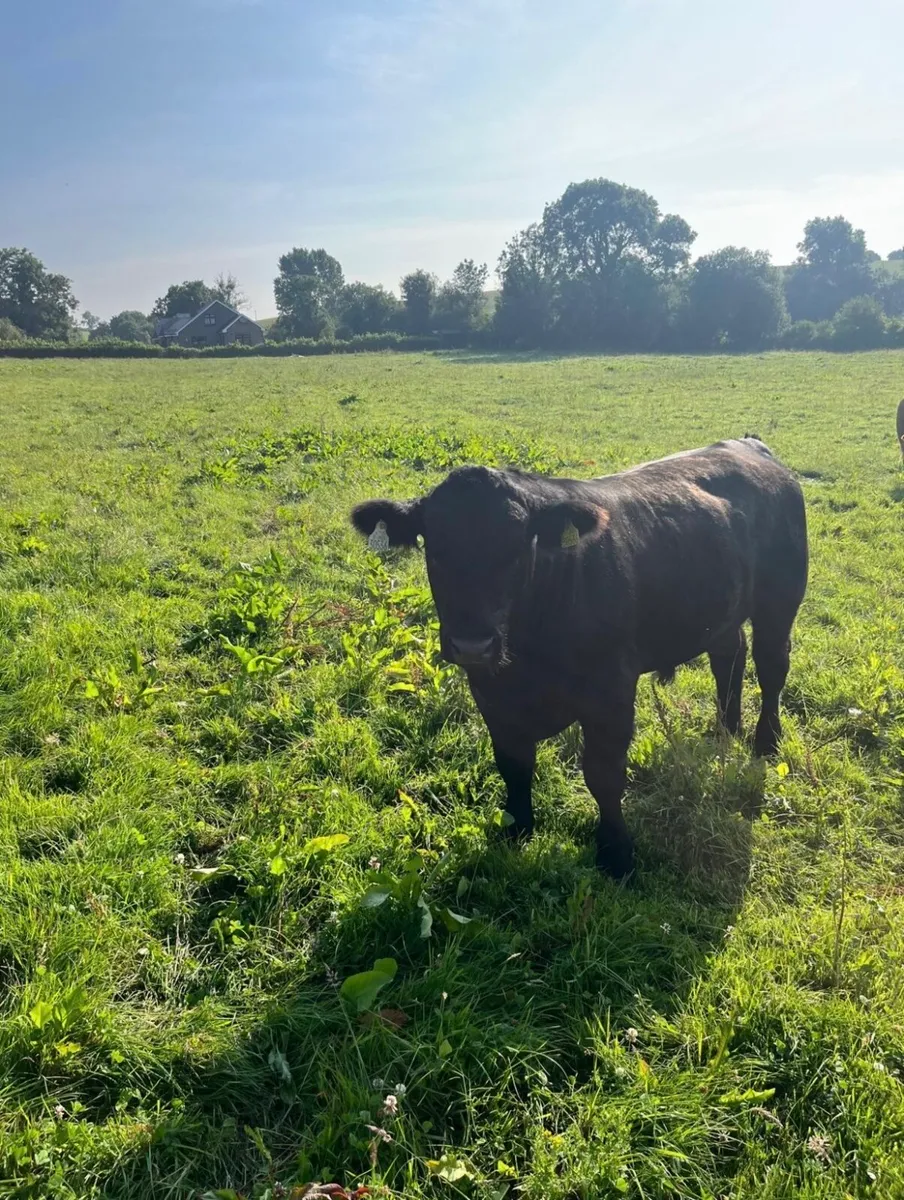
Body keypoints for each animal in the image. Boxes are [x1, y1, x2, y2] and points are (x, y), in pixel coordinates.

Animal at [351, 437, 808, 879]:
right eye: (435, 548)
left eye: (518, 547)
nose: (472, 644)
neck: (527, 659)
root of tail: (749, 446)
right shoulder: (492, 694)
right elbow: (513, 765)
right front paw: (516, 828)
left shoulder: (612, 692)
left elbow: (603, 775)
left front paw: (616, 854)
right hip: (723, 611)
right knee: (729, 657)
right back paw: (725, 729)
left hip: (780, 600)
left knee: (771, 666)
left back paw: (765, 741)